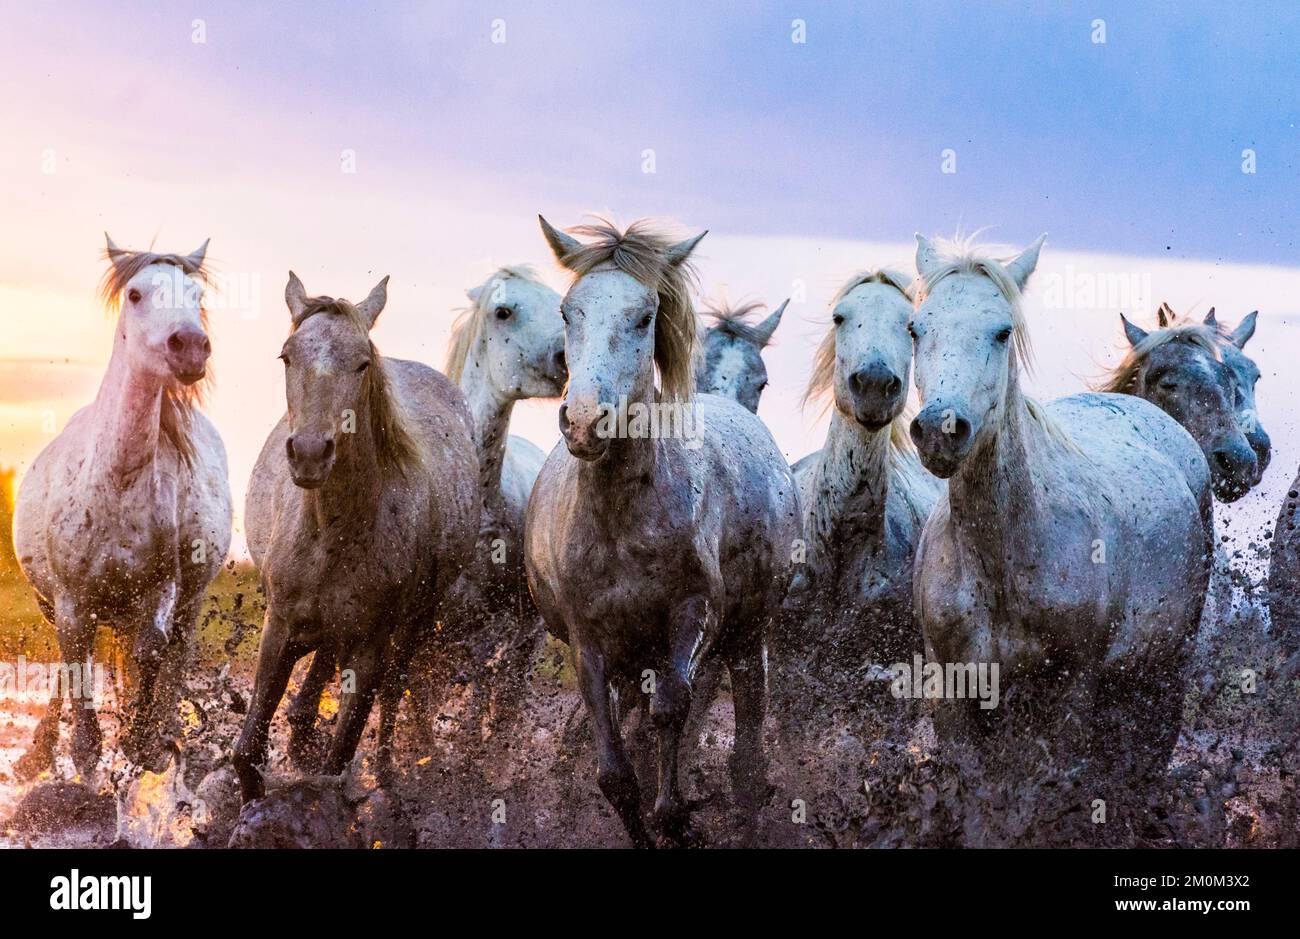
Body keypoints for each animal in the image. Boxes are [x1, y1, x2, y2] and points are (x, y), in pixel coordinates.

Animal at [13, 235, 232, 779]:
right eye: (134, 294)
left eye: (196, 294)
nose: (190, 346)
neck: (116, 486)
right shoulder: (71, 603)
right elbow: (75, 671)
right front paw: (84, 756)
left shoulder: (162, 590)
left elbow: (151, 655)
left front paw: (141, 740)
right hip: (53, 604)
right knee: (66, 670)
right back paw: (37, 752)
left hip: (188, 604)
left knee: (172, 658)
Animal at [234, 273, 478, 800]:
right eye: (287, 356)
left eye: (363, 363)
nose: (309, 453)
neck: (331, 533)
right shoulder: (279, 628)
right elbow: (247, 753)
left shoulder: (370, 650)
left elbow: (338, 761)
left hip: (415, 624)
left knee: (392, 695)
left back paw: (387, 774)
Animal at [524, 217, 801, 847]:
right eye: (568, 311)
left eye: (644, 316)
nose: (584, 421)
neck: (621, 521)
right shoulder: (589, 643)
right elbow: (615, 773)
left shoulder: (694, 614)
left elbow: (673, 710)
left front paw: (675, 815)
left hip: (746, 642)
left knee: (745, 755)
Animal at [908, 234, 1211, 788]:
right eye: (916, 328)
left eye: (1002, 331)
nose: (940, 429)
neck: (1002, 556)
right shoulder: (954, 693)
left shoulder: (1072, 688)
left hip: (1165, 670)